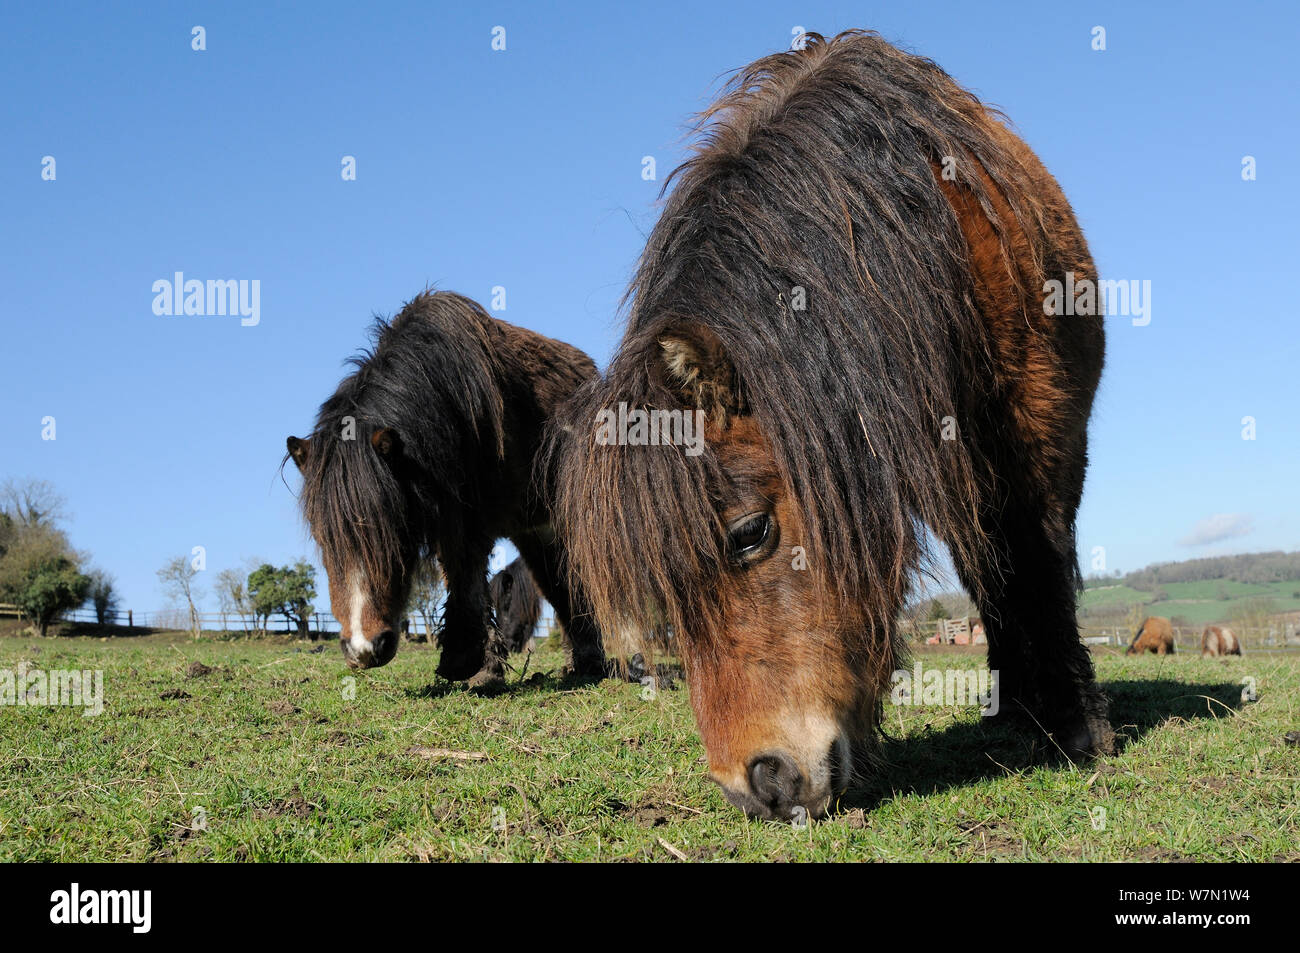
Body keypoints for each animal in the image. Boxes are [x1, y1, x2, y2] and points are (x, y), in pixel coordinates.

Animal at [287, 288, 605, 686]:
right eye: (323, 538)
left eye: (396, 532)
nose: (364, 649)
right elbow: (460, 577)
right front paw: (475, 665)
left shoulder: (470, 518)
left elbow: (466, 576)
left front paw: (470, 664)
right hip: (534, 529)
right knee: (558, 582)